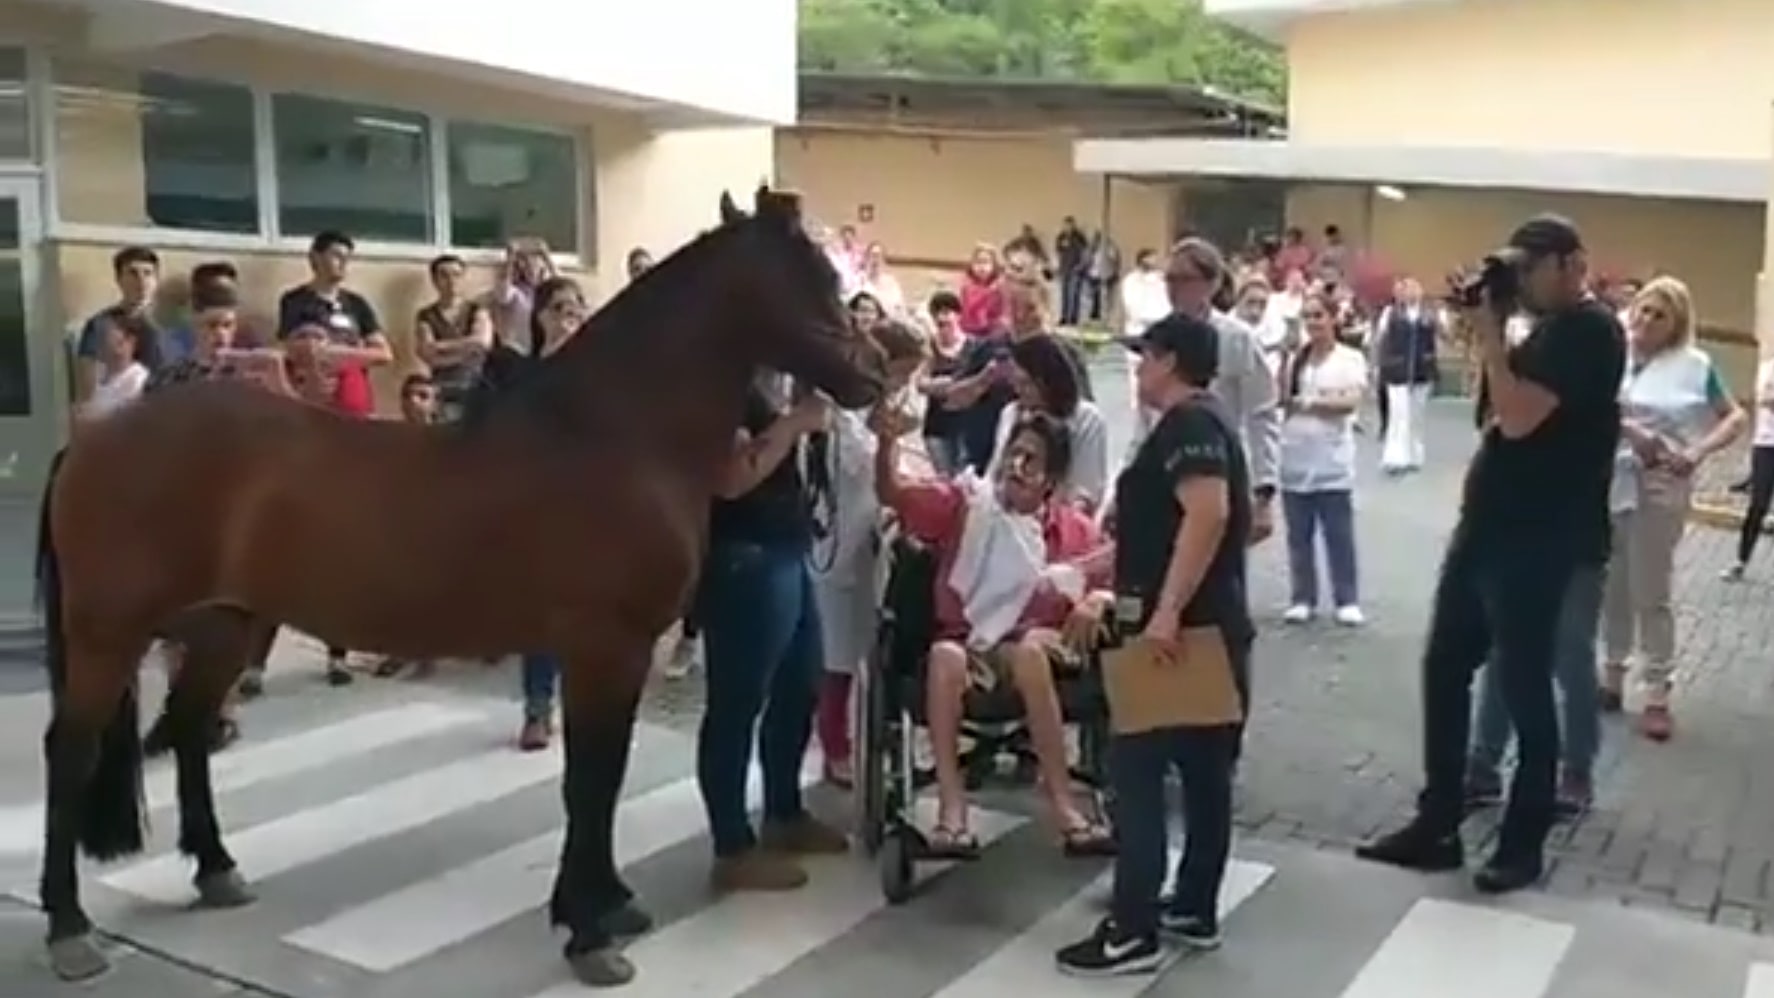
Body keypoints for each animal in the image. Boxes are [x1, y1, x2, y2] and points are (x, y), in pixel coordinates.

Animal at [34, 186, 885, 988]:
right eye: (811, 274)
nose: (879, 371)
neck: (611, 437)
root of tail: (96, 438)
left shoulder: (622, 652)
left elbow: (602, 781)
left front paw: (607, 905)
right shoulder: (602, 647)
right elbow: (590, 781)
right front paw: (588, 933)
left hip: (224, 625)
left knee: (187, 733)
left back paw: (216, 871)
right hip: (109, 632)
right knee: (70, 752)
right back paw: (68, 927)